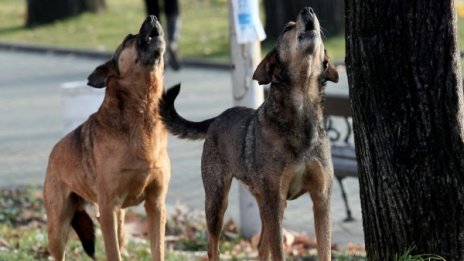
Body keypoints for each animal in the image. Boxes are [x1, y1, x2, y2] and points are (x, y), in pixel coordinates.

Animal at [43, 16, 170, 260]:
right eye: (129, 39)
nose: (152, 17)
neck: (143, 113)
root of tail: (53, 152)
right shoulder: (108, 208)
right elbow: (113, 253)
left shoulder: (156, 205)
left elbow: (157, 250)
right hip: (58, 228)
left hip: (118, 221)